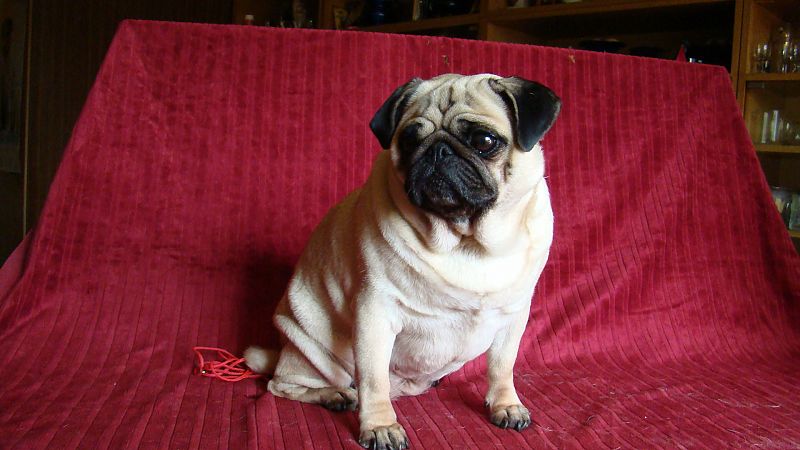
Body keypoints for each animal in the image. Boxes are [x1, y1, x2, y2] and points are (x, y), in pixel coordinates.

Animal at [245, 73, 561, 449]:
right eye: (410, 141)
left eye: (484, 141)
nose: (438, 150)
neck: (465, 239)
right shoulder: (375, 313)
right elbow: (373, 379)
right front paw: (379, 425)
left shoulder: (513, 317)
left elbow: (502, 367)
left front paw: (506, 405)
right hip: (314, 349)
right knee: (284, 385)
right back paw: (334, 395)